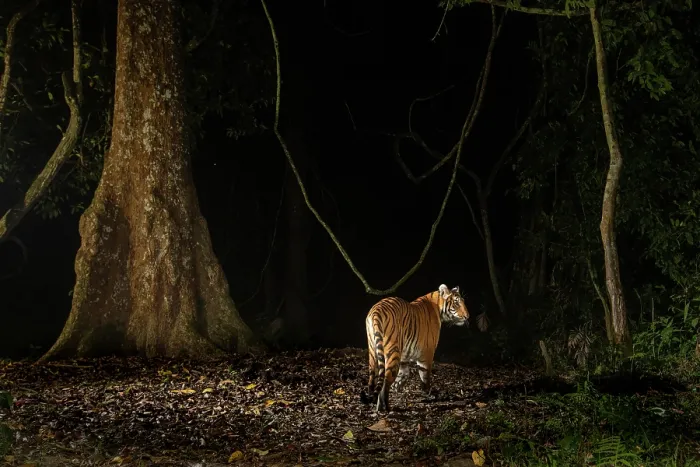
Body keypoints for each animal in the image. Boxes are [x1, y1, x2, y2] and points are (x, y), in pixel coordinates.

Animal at [360, 284, 469, 412]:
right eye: (456, 302)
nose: (467, 316)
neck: (438, 306)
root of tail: (376, 310)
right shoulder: (427, 353)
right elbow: (425, 376)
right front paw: (430, 394)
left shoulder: (404, 356)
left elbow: (404, 373)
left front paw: (397, 386)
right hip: (393, 351)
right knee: (386, 381)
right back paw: (385, 407)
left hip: (373, 351)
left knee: (373, 378)